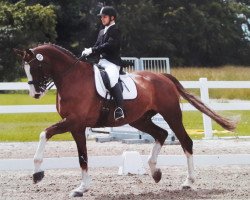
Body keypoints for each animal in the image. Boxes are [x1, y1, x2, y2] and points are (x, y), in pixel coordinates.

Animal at [14, 43, 235, 197]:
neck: (71, 78)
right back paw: (155, 171)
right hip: (139, 120)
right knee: (161, 134)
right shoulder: (77, 126)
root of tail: (163, 77)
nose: (35, 94)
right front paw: (81, 188)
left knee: (185, 141)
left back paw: (188, 182)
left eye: (36, 66)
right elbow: (82, 157)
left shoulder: (74, 121)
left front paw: (37, 173)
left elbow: (45, 133)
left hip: (171, 115)